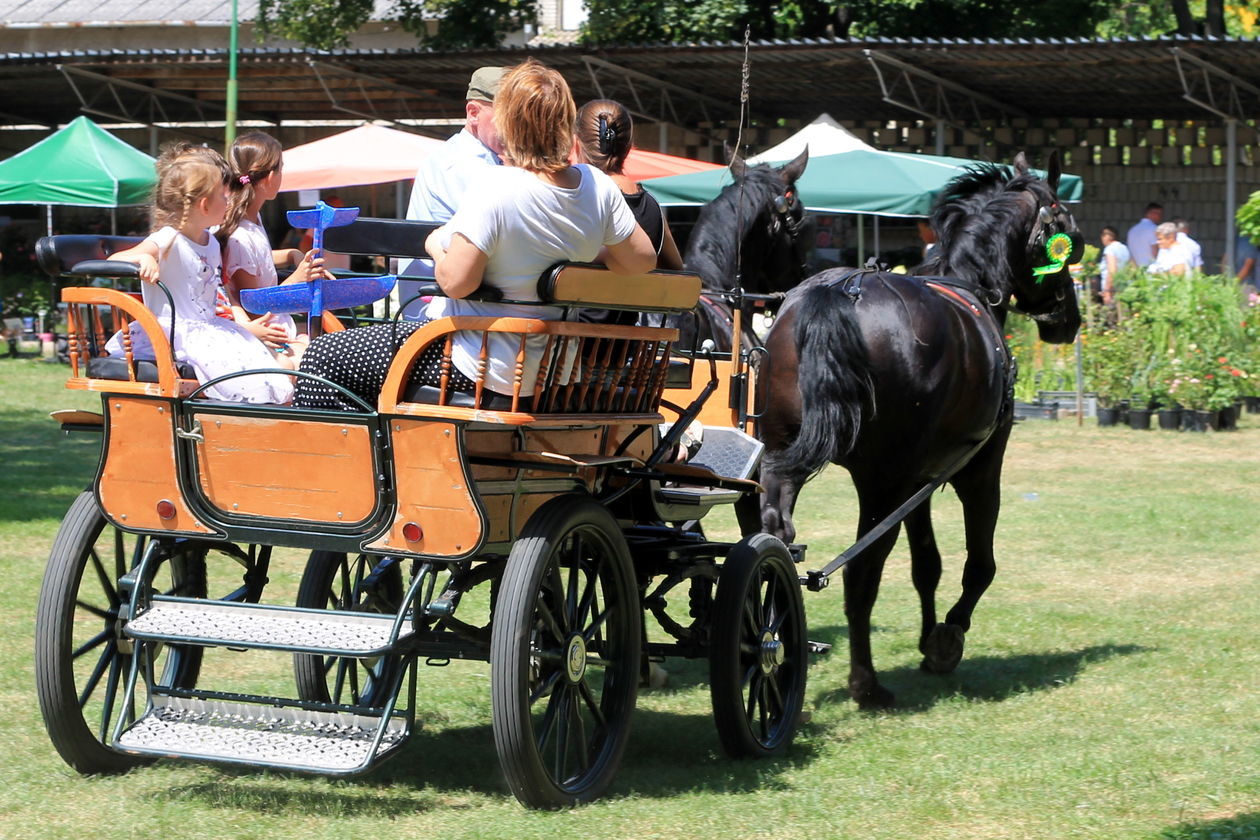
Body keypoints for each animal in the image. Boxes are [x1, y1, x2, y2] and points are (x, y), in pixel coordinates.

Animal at [750, 153, 1078, 710]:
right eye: (1069, 235)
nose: (1069, 319)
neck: (969, 284)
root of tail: (839, 293)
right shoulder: (977, 468)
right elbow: (978, 563)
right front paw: (947, 637)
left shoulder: (920, 479)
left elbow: (927, 562)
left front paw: (928, 641)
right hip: (883, 483)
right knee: (861, 573)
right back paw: (866, 683)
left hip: (788, 460)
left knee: (778, 536)